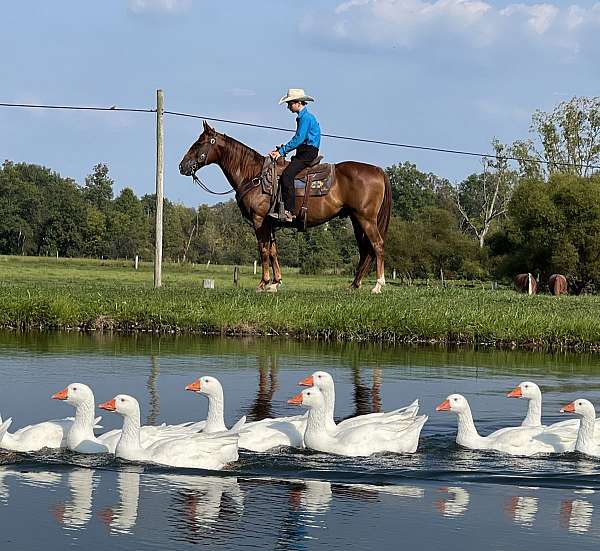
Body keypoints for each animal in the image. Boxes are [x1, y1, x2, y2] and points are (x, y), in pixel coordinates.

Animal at [178, 121, 394, 294]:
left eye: (199, 144)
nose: (182, 166)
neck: (253, 175)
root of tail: (377, 170)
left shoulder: (259, 220)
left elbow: (263, 249)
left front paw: (263, 283)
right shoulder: (270, 222)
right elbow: (273, 250)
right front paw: (276, 282)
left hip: (366, 219)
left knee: (377, 245)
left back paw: (377, 285)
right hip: (356, 220)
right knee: (365, 250)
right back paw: (354, 285)